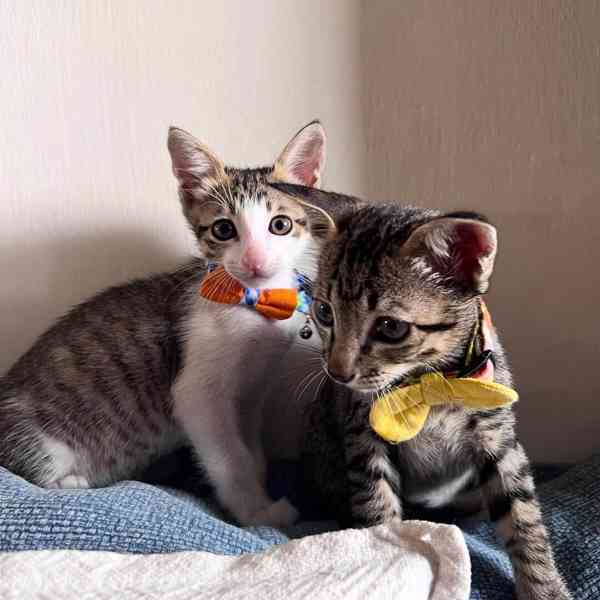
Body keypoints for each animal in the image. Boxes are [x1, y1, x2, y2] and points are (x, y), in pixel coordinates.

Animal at [0, 120, 327, 528]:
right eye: (223, 230)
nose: (254, 261)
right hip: (42, 442)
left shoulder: (251, 394)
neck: (252, 302)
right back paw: (75, 481)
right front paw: (257, 513)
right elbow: (231, 458)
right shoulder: (196, 395)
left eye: (279, 225)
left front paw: (260, 484)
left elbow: (252, 450)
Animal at [269, 182, 572, 600]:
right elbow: (377, 503)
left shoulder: (499, 438)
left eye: (391, 328)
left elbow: (524, 518)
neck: (431, 383)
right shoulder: (363, 433)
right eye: (325, 312)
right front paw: (389, 555)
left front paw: (545, 588)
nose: (338, 373)